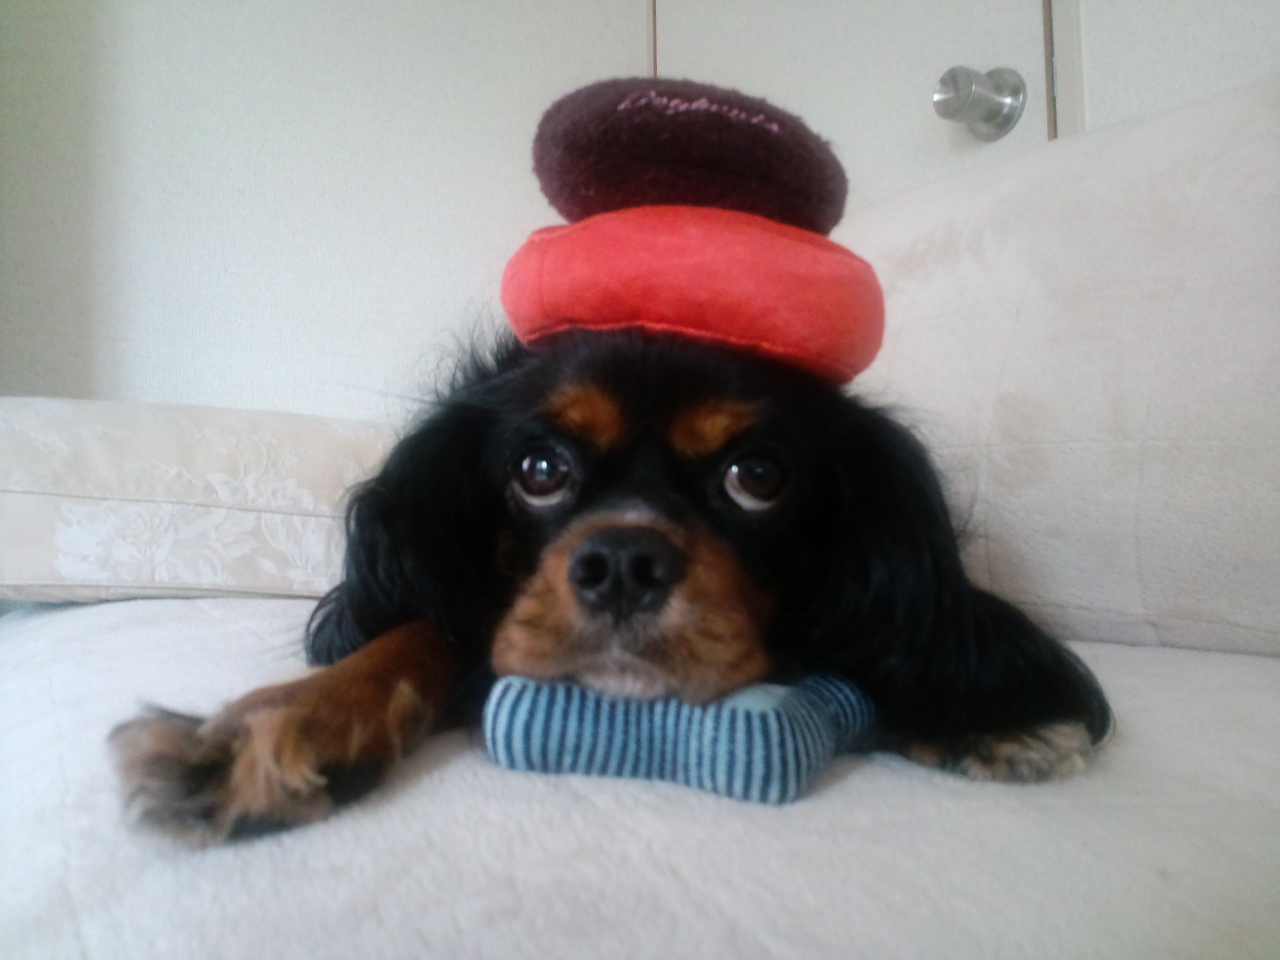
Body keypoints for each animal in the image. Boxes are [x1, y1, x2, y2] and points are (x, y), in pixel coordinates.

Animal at [111, 328, 1113, 842]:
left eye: (758, 476)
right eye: (539, 468)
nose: (624, 561)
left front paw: (988, 722)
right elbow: (414, 632)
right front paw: (281, 724)